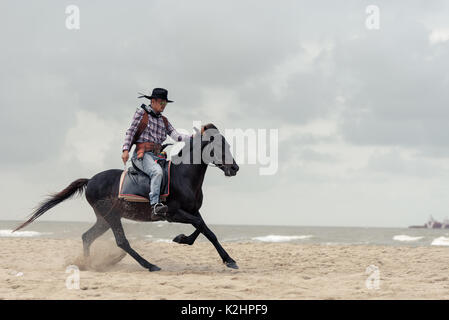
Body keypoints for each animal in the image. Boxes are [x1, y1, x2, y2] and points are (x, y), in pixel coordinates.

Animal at [13, 124, 238, 272]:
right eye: (218, 147)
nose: (234, 168)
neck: (182, 175)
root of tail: (91, 180)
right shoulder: (173, 213)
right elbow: (202, 227)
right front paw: (227, 259)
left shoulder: (192, 211)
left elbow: (206, 230)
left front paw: (185, 240)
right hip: (111, 216)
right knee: (121, 242)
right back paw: (149, 265)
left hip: (104, 219)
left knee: (87, 237)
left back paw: (88, 264)